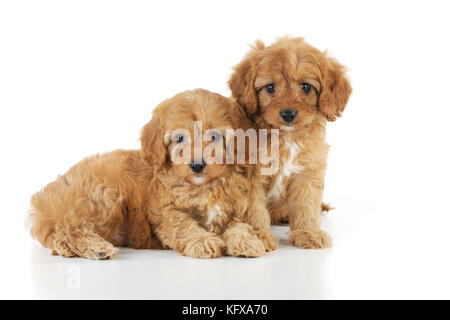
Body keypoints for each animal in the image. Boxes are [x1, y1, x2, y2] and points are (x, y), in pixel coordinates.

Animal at [28, 89, 276, 258]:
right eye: (179, 138)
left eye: (214, 136)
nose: (196, 165)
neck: (204, 185)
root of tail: (45, 200)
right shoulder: (165, 211)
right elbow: (184, 225)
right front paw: (204, 241)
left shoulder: (239, 208)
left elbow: (240, 226)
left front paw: (247, 241)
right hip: (104, 197)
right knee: (68, 230)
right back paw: (95, 247)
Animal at [230, 36, 354, 249]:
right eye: (270, 88)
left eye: (306, 87)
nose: (288, 114)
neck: (286, 137)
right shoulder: (252, 177)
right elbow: (254, 208)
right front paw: (257, 235)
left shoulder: (308, 173)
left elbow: (306, 204)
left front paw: (308, 231)